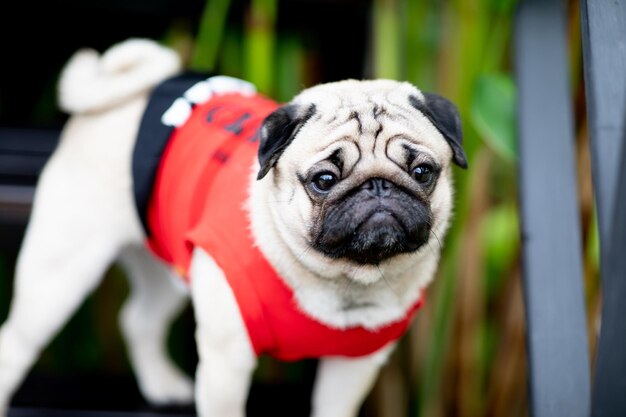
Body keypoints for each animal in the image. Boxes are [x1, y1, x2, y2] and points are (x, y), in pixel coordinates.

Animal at [0, 39, 464, 416]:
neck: (342, 280)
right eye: (324, 179)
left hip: (168, 267)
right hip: (58, 276)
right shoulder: (227, 363)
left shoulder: (353, 369)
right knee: (16, 342)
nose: (379, 187)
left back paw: (161, 385)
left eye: (422, 172)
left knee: (138, 320)